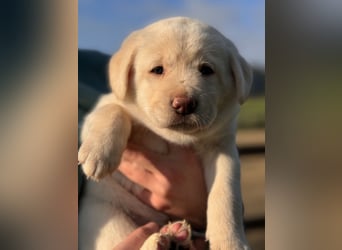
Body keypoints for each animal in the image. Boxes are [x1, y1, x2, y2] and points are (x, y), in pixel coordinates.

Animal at [79, 16, 252, 249]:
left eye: (206, 70)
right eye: (158, 70)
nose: (184, 104)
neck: (176, 138)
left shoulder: (223, 148)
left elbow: (226, 191)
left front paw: (230, 241)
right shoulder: (101, 108)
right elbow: (114, 110)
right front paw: (98, 154)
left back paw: (174, 236)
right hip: (106, 215)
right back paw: (160, 240)